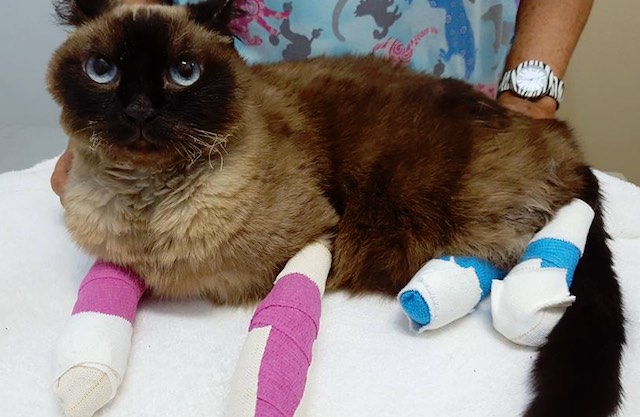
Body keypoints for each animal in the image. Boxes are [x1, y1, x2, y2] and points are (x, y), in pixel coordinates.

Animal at [47, 1, 625, 416]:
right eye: (102, 70)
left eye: (183, 72)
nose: (140, 109)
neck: (149, 207)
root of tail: (553, 133)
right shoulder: (120, 260)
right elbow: (100, 308)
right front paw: (85, 376)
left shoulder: (318, 235)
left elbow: (271, 337)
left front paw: (254, 394)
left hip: (459, 207)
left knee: (560, 222)